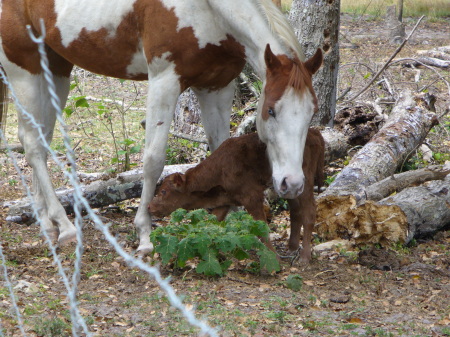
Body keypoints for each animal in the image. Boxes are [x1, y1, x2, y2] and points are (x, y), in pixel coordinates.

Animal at [149, 127, 326, 262]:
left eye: (164, 191)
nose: (150, 207)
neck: (220, 170)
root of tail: (314, 132)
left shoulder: (252, 197)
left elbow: (262, 228)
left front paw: (273, 257)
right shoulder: (225, 201)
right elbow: (211, 224)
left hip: (304, 183)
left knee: (310, 211)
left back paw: (304, 257)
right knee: (296, 210)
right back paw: (292, 247)